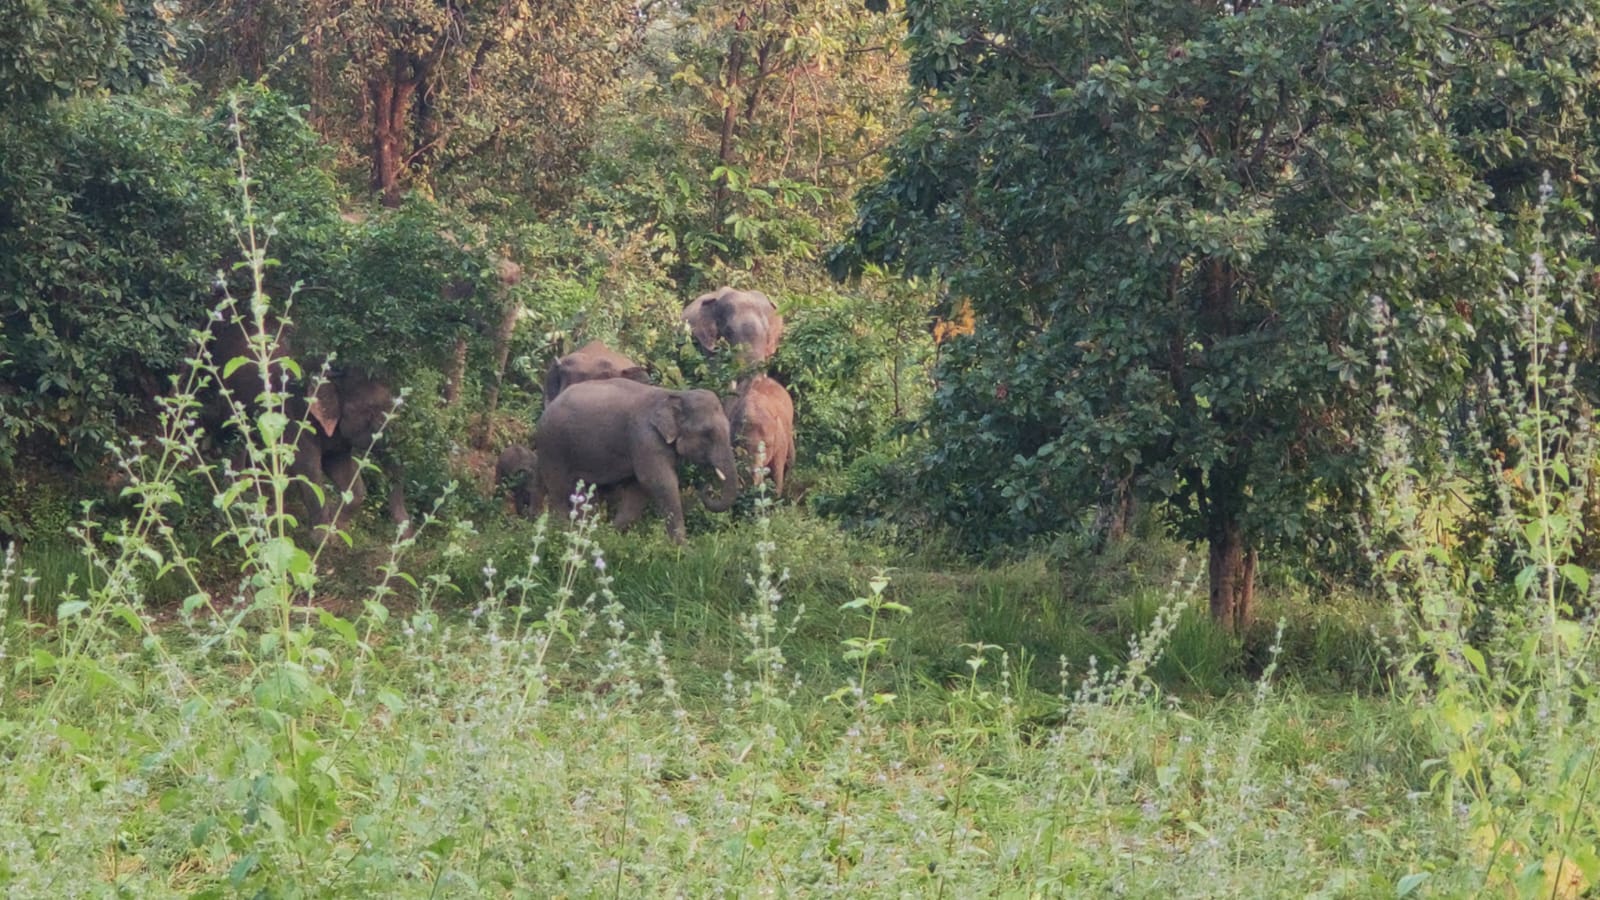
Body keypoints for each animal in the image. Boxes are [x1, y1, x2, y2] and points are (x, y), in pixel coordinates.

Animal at [203, 310, 412, 528]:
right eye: (370, 412)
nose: (407, 529)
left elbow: (345, 474)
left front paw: (334, 527)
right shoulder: (296, 413)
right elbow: (307, 468)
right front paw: (323, 533)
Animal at [534, 377, 739, 538]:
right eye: (707, 433)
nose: (708, 488)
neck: (675, 394)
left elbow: (638, 489)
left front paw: (610, 536)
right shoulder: (644, 437)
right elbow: (658, 482)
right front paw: (682, 552)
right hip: (552, 446)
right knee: (560, 490)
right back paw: (562, 533)